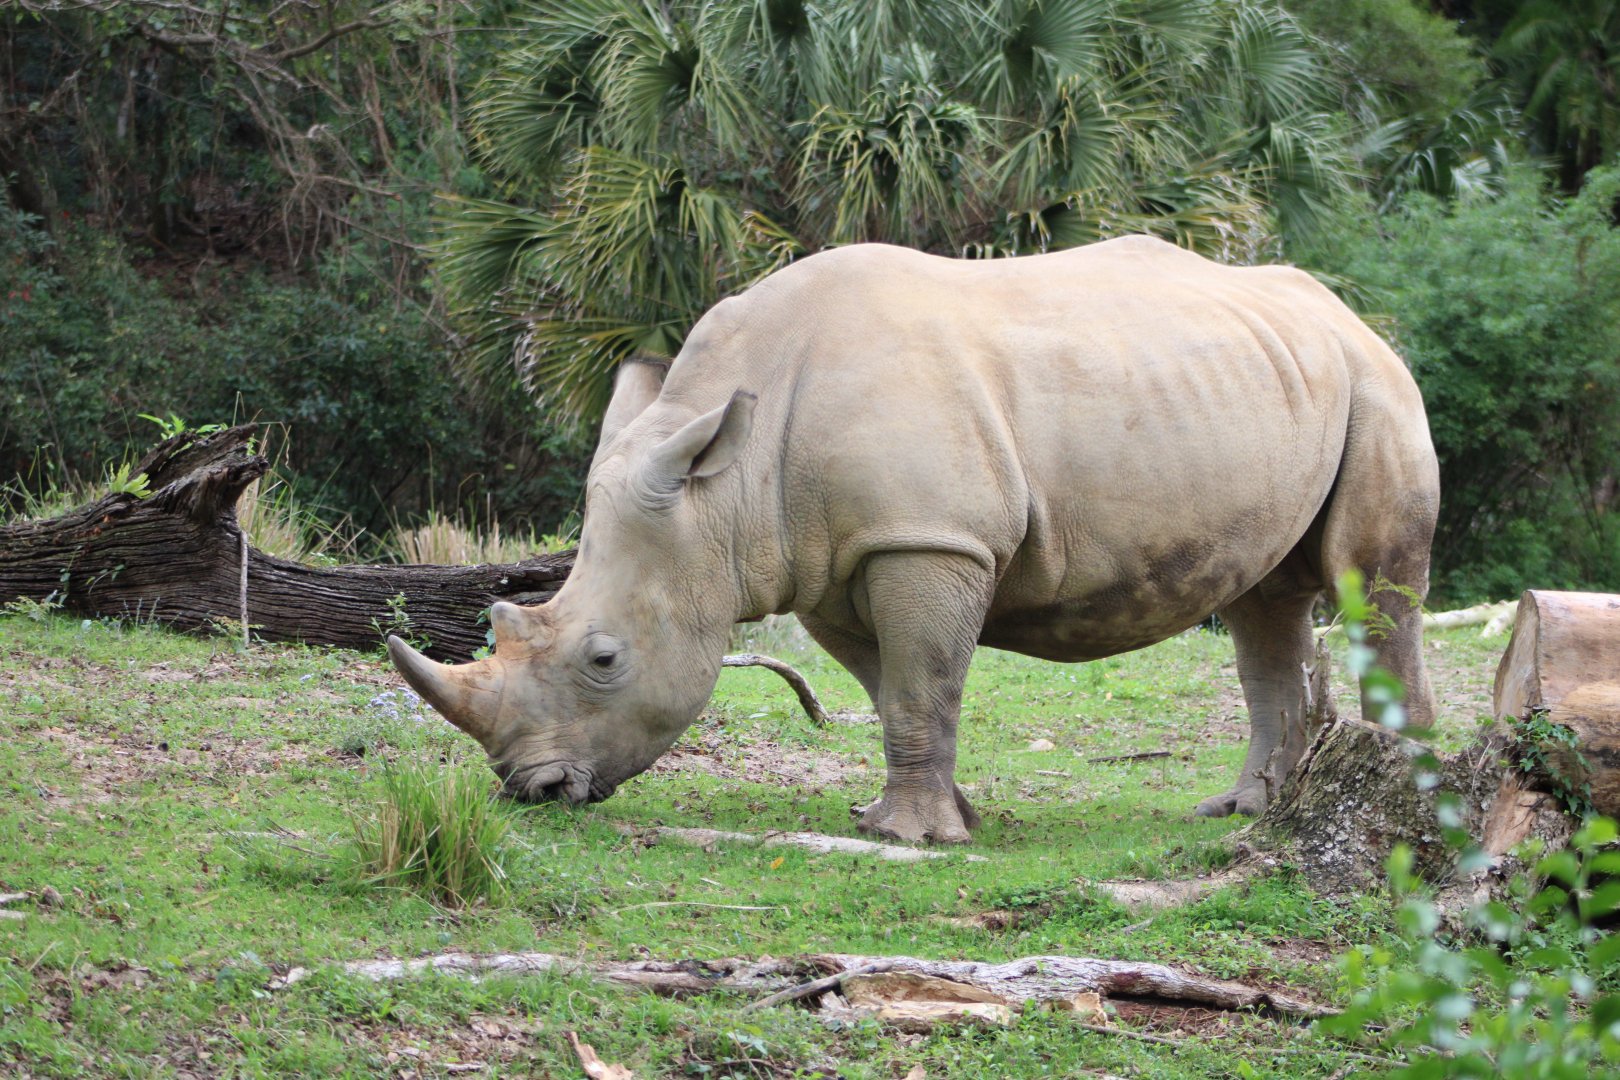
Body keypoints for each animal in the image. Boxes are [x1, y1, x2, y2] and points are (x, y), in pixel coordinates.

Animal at [389, 236, 1439, 843]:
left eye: (604, 659)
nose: (531, 790)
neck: (724, 488)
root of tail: (1346, 312)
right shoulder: (831, 556)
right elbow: (893, 688)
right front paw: (924, 817)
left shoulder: (928, 540)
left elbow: (923, 680)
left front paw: (911, 840)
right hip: (1278, 380)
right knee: (1264, 604)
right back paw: (1248, 812)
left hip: (1379, 382)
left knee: (1373, 589)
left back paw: (1400, 800)